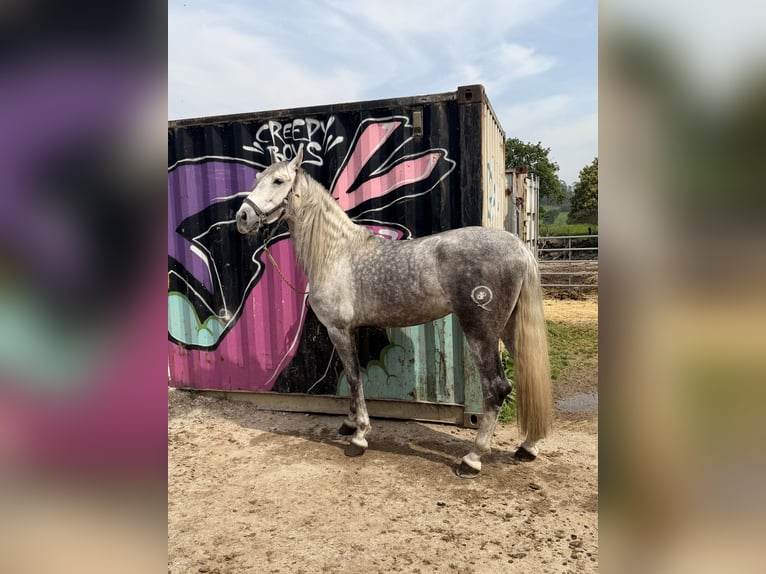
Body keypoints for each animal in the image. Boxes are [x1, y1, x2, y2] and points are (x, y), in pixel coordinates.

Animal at [236, 147, 552, 477]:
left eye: (278, 181)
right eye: (258, 179)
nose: (242, 217)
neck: (336, 254)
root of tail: (518, 247)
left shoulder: (338, 329)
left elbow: (354, 379)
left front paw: (360, 436)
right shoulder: (350, 330)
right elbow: (353, 378)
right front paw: (349, 424)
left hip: (481, 332)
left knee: (497, 388)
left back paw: (473, 458)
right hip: (509, 328)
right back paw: (527, 447)